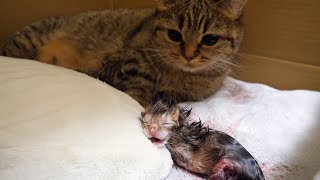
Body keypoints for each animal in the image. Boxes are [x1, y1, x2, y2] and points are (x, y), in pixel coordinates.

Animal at [0, 0, 246, 107]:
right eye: (174, 35)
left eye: (210, 39)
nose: (189, 55)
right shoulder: (133, 61)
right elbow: (139, 88)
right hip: (28, 40)